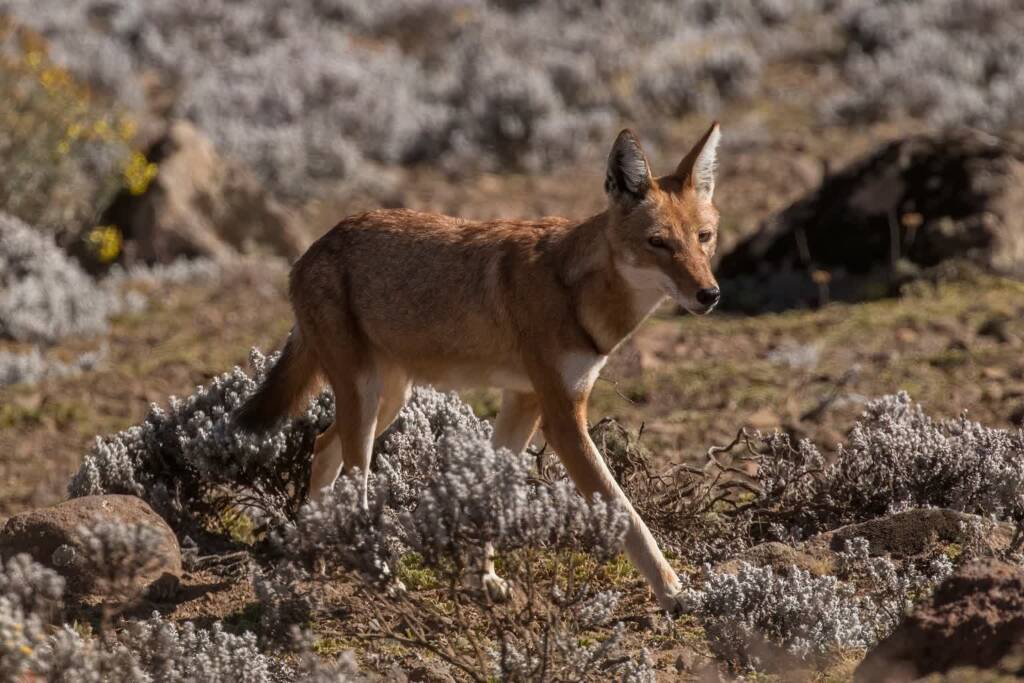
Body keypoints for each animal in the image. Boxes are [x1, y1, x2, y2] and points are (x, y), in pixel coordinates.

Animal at [235, 122, 724, 614]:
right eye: (658, 243)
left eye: (704, 237)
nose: (710, 295)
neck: (577, 292)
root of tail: (313, 248)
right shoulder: (563, 420)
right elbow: (627, 514)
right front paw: (674, 592)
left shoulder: (525, 402)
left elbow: (490, 492)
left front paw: (483, 578)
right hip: (368, 400)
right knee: (354, 484)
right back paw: (381, 576)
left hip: (388, 401)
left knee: (321, 446)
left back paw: (315, 555)